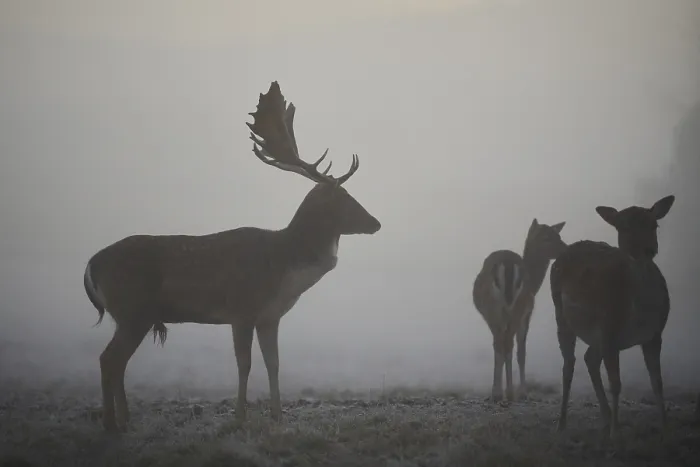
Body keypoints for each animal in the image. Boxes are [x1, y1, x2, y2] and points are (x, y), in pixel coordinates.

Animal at [83, 81, 381, 433]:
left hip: (131, 315)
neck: (283, 268)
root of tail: (91, 266)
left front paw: (277, 415)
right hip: (132, 309)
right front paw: (240, 417)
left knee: (116, 362)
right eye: (345, 198)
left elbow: (274, 363)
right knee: (108, 359)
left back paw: (125, 420)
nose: (376, 223)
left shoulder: (269, 316)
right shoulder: (241, 309)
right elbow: (245, 363)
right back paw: (110, 423)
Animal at [472, 218, 567, 402]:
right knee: (509, 343)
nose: (566, 249)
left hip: (494, 310)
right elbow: (521, 351)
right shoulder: (527, 314)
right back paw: (509, 392)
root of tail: (508, 266)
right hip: (517, 307)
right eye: (546, 238)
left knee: (500, 343)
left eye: (558, 235)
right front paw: (522, 392)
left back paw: (498, 392)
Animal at [551, 195, 675, 438]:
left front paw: (666, 428)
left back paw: (606, 417)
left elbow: (658, 381)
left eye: (654, 225)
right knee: (569, 365)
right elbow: (616, 384)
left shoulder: (655, 334)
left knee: (589, 358)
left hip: (595, 333)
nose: (648, 249)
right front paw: (615, 434)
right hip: (562, 315)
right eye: (622, 227)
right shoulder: (609, 330)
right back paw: (562, 424)